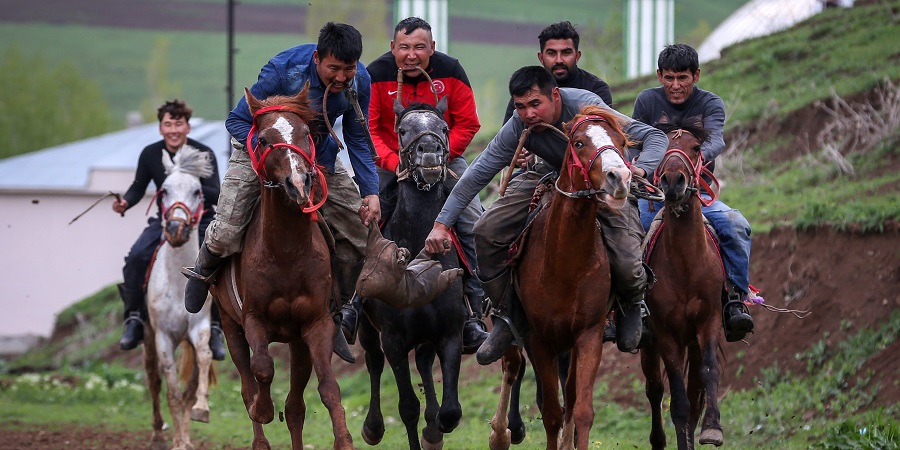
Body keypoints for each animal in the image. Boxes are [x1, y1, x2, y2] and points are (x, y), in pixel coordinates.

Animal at [209, 86, 354, 450]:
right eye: (262, 139)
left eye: (305, 133)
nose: (299, 183)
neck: (286, 253)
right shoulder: (252, 319)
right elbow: (262, 368)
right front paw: (262, 409)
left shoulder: (315, 324)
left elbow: (328, 388)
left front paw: (344, 440)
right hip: (229, 324)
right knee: (247, 384)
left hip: (296, 341)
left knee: (294, 407)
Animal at [488, 106, 628, 450]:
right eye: (578, 143)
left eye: (621, 141)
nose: (620, 178)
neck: (564, 264)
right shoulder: (538, 339)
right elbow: (551, 411)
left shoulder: (589, 335)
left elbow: (580, 409)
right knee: (511, 365)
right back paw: (500, 433)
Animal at [644, 120, 728, 450]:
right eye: (660, 146)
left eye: (695, 147)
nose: (673, 181)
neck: (685, 265)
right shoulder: (665, 334)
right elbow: (678, 401)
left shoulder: (709, 321)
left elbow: (708, 374)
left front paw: (713, 428)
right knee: (655, 389)